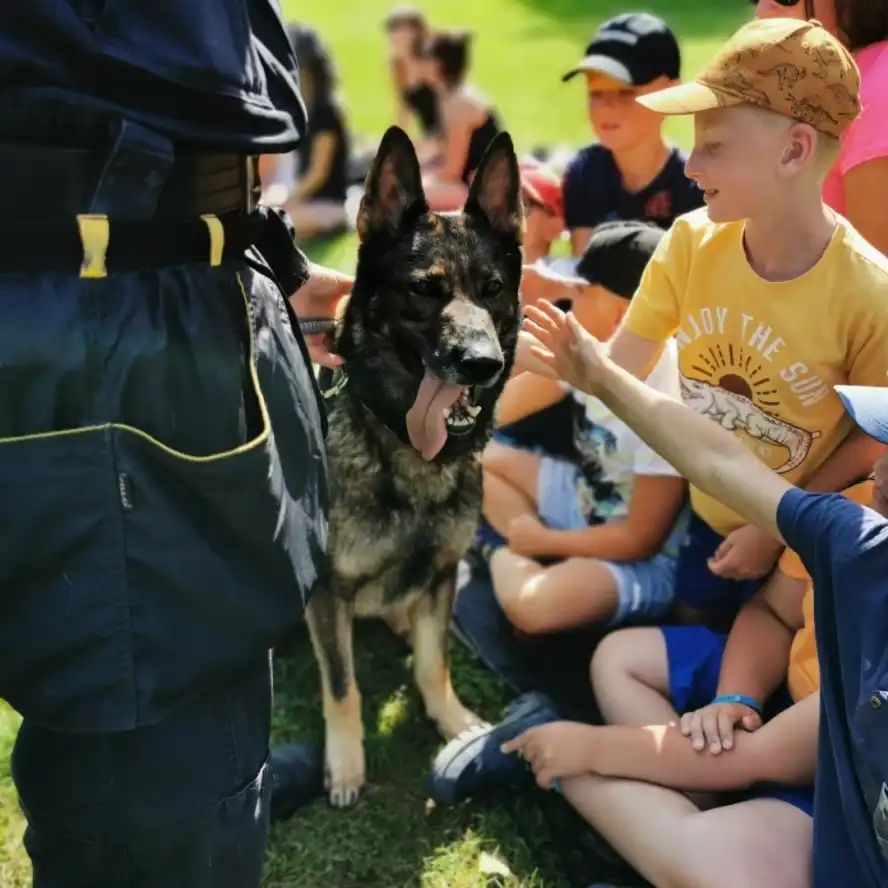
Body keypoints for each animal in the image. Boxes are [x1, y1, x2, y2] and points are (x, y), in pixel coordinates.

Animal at [308, 126, 524, 812]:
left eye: (492, 288)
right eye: (424, 290)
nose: (480, 363)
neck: (403, 449)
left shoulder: (442, 574)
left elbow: (435, 663)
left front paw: (451, 721)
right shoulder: (329, 592)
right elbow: (342, 685)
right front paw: (345, 763)